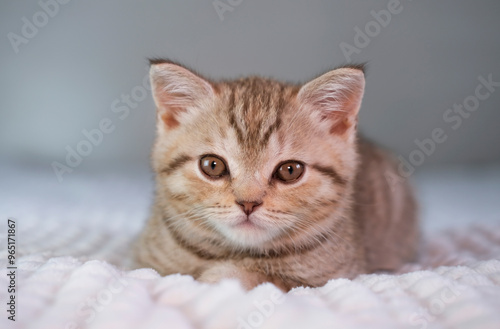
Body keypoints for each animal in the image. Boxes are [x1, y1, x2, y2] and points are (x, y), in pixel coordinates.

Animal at [133, 59, 418, 290]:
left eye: (289, 170)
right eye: (212, 165)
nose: (248, 203)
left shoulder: (337, 275)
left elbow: (257, 277)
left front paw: (218, 275)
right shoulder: (141, 261)